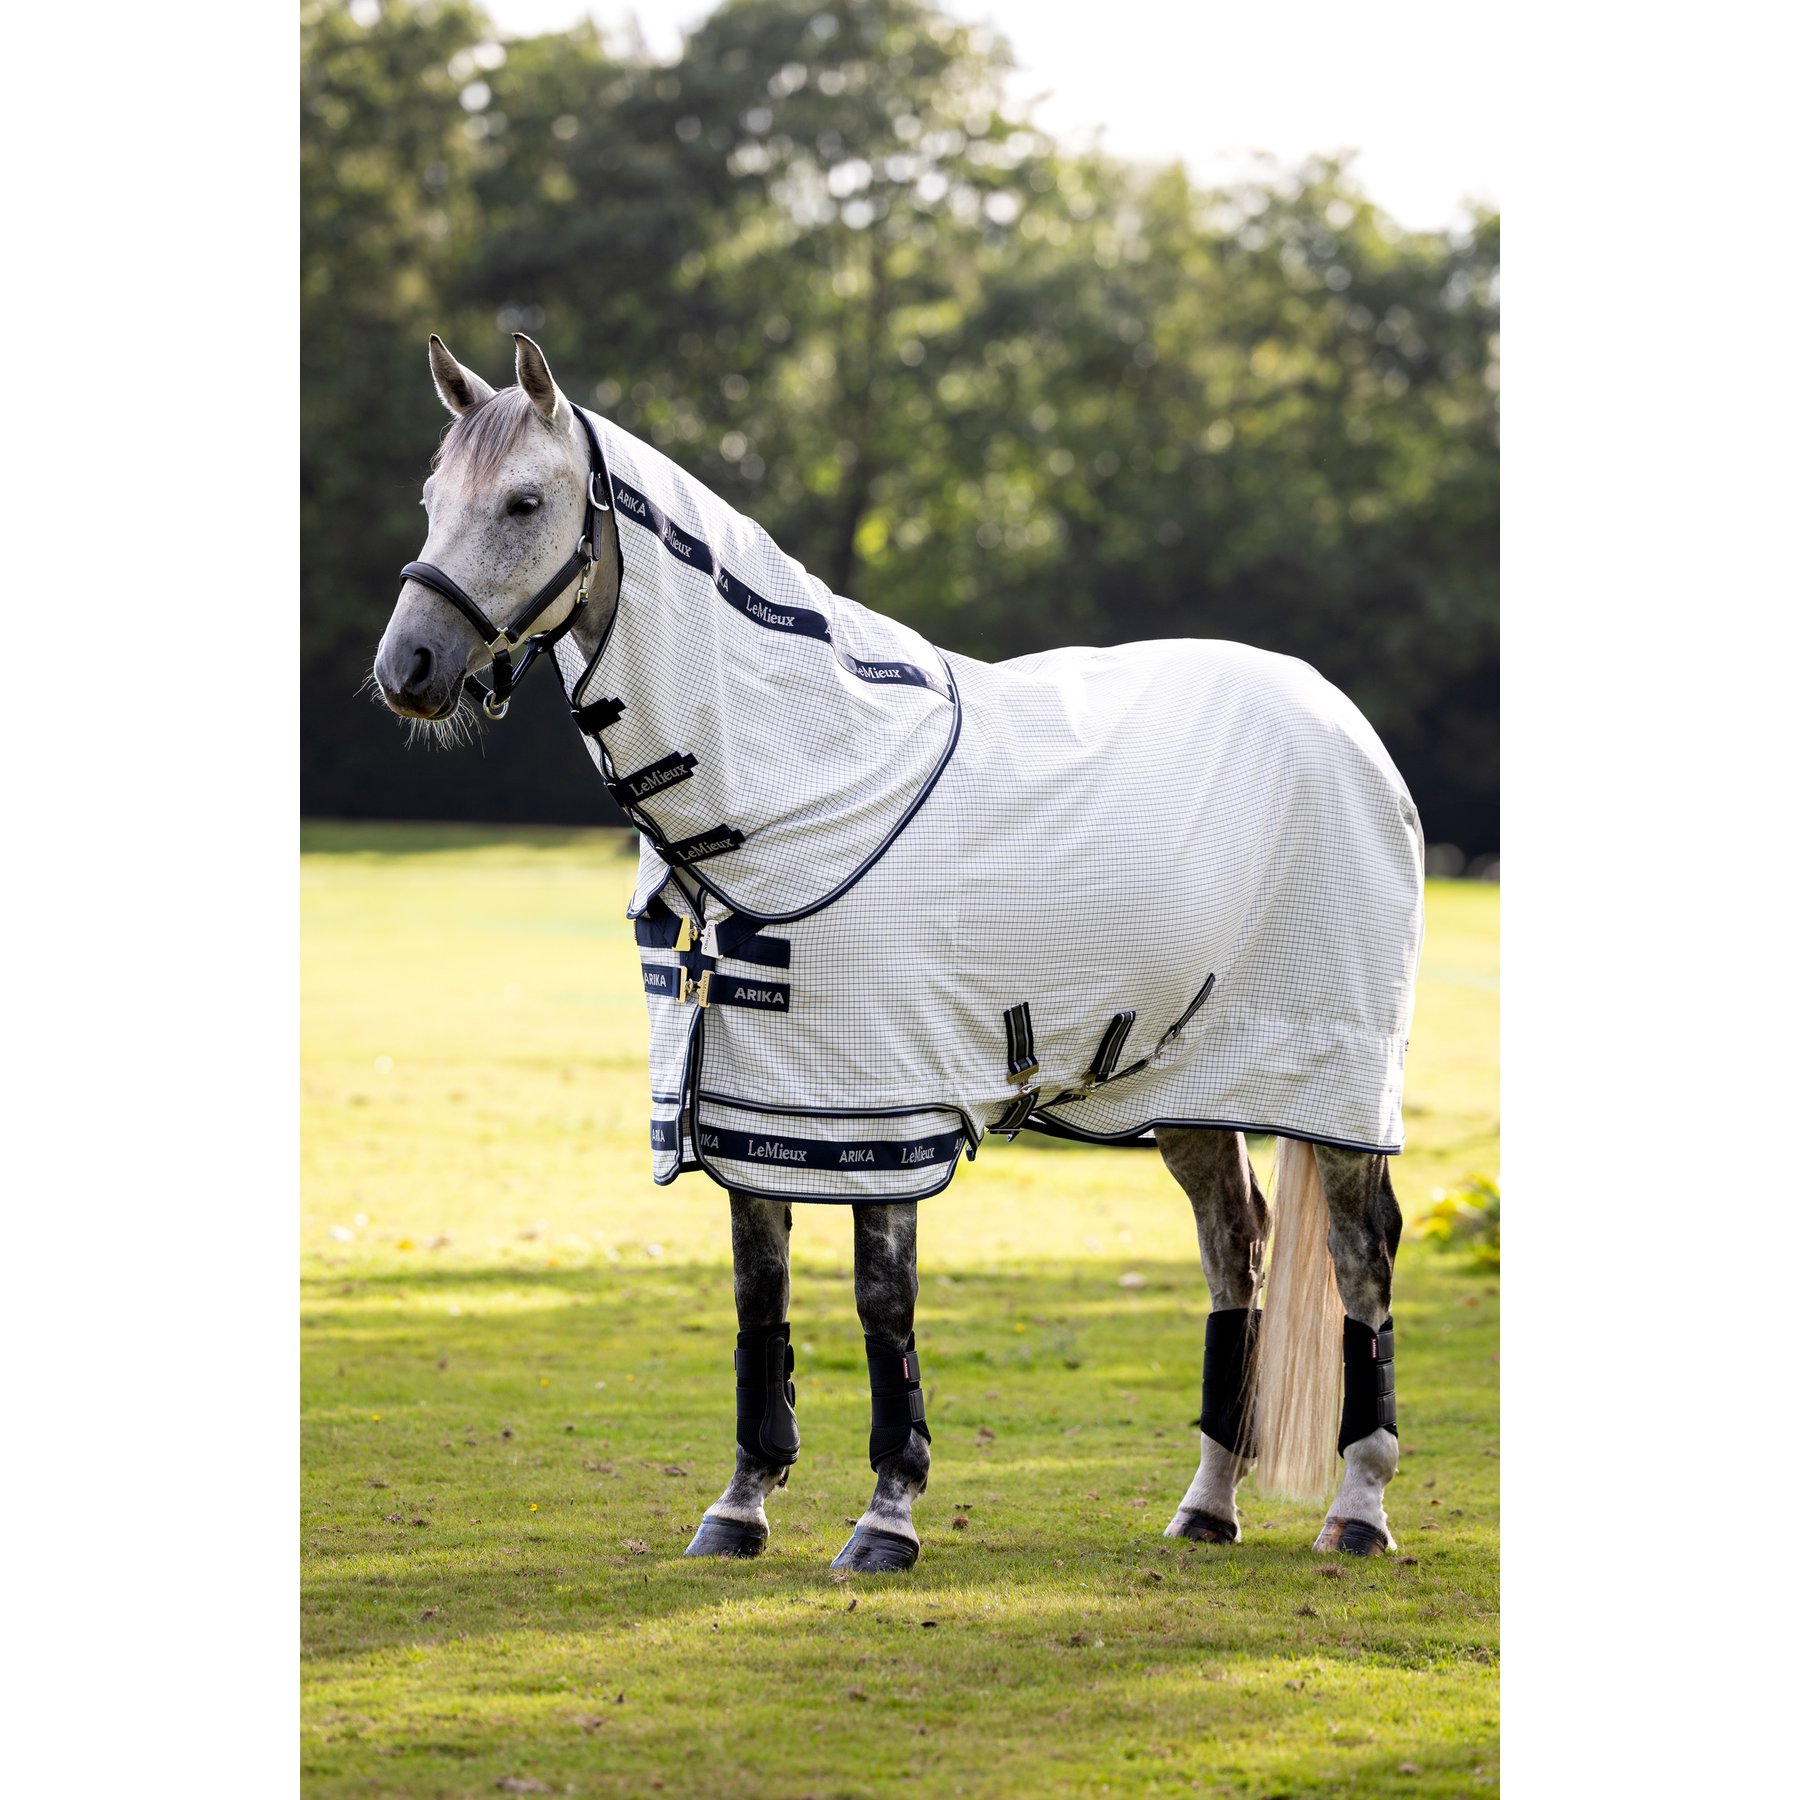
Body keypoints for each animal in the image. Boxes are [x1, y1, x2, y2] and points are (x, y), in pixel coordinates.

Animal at [372, 331, 1422, 1570]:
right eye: (433, 499)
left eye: (525, 502)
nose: (408, 667)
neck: (801, 780)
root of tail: (1344, 724)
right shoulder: (754, 1105)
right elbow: (760, 1297)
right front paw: (740, 1505)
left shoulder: (879, 1109)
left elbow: (884, 1305)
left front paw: (887, 1515)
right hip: (1192, 1090)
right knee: (1235, 1250)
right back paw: (1207, 1505)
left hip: (1334, 1088)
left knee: (1360, 1257)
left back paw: (1359, 1507)